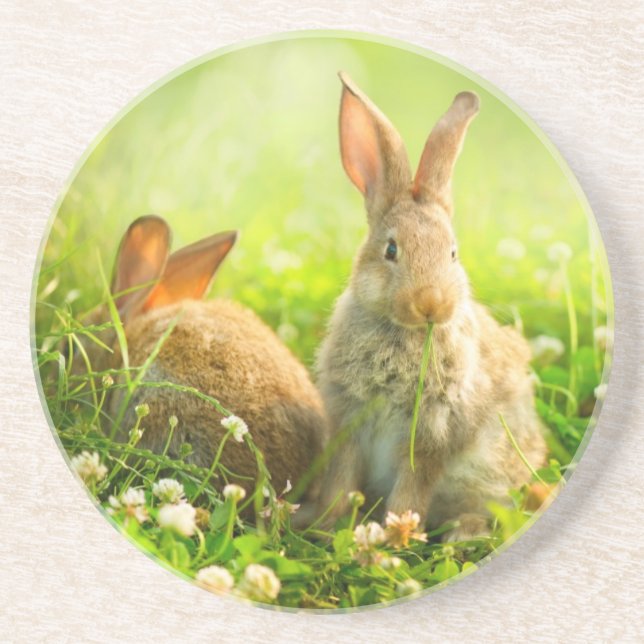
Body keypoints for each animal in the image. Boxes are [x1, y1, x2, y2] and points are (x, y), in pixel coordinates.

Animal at [315, 72, 547, 540]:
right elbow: (342, 479)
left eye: (453, 254)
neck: (404, 333)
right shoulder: (348, 420)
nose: (431, 303)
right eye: (391, 250)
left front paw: (395, 537)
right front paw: (328, 526)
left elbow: (411, 491)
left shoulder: (432, 435)